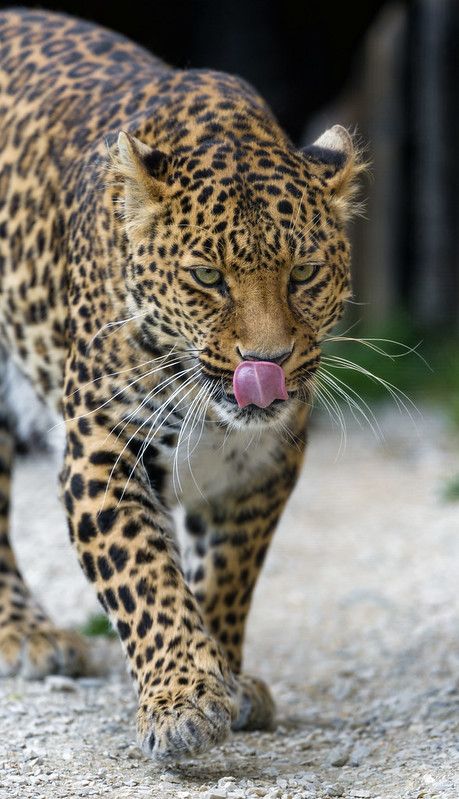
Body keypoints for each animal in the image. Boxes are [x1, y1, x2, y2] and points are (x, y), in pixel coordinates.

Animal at [0, 9, 366, 764]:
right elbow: (145, 576)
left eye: (303, 273)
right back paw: (28, 633)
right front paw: (182, 700)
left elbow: (226, 575)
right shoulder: (100, 450)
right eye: (207, 277)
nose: (267, 362)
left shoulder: (265, 462)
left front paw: (225, 676)